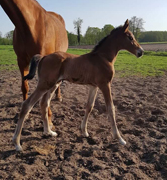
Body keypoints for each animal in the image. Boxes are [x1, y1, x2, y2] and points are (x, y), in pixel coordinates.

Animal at [12, 19, 144, 151]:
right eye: (130, 37)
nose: (141, 52)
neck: (103, 58)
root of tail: (43, 57)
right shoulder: (105, 85)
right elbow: (111, 108)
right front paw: (120, 139)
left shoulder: (94, 86)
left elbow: (89, 106)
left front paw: (84, 131)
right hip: (44, 84)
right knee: (27, 105)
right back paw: (17, 143)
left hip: (53, 84)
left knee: (44, 103)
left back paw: (49, 132)